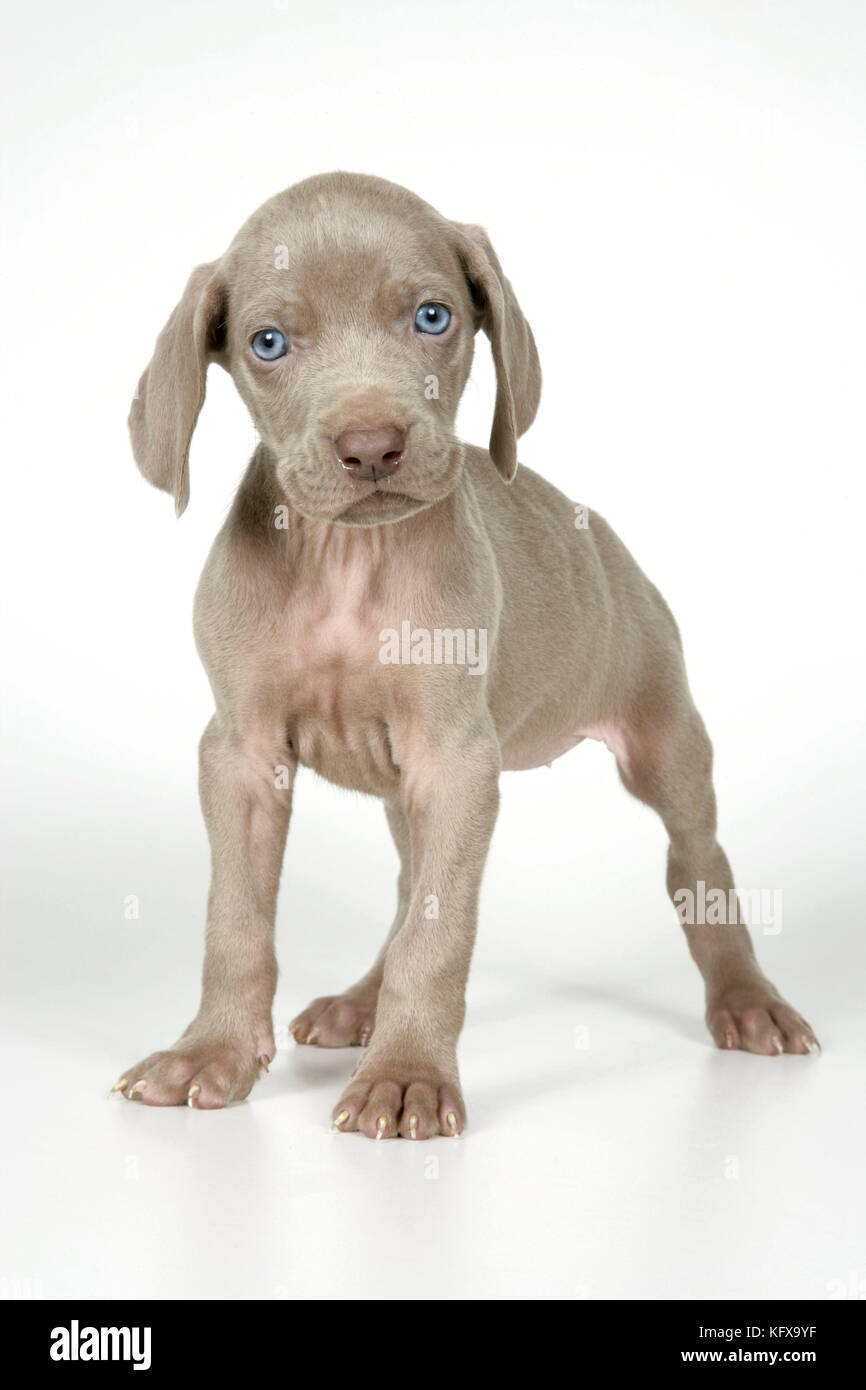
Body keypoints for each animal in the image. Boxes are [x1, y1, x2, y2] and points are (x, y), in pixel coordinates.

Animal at [115, 170, 817, 1139]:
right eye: (269, 343)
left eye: (433, 317)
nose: (371, 447)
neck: (346, 565)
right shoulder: (242, 755)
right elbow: (237, 919)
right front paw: (210, 1051)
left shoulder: (456, 761)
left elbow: (438, 935)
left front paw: (406, 1074)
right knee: (411, 882)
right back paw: (359, 1004)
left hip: (664, 736)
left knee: (697, 860)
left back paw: (748, 1001)